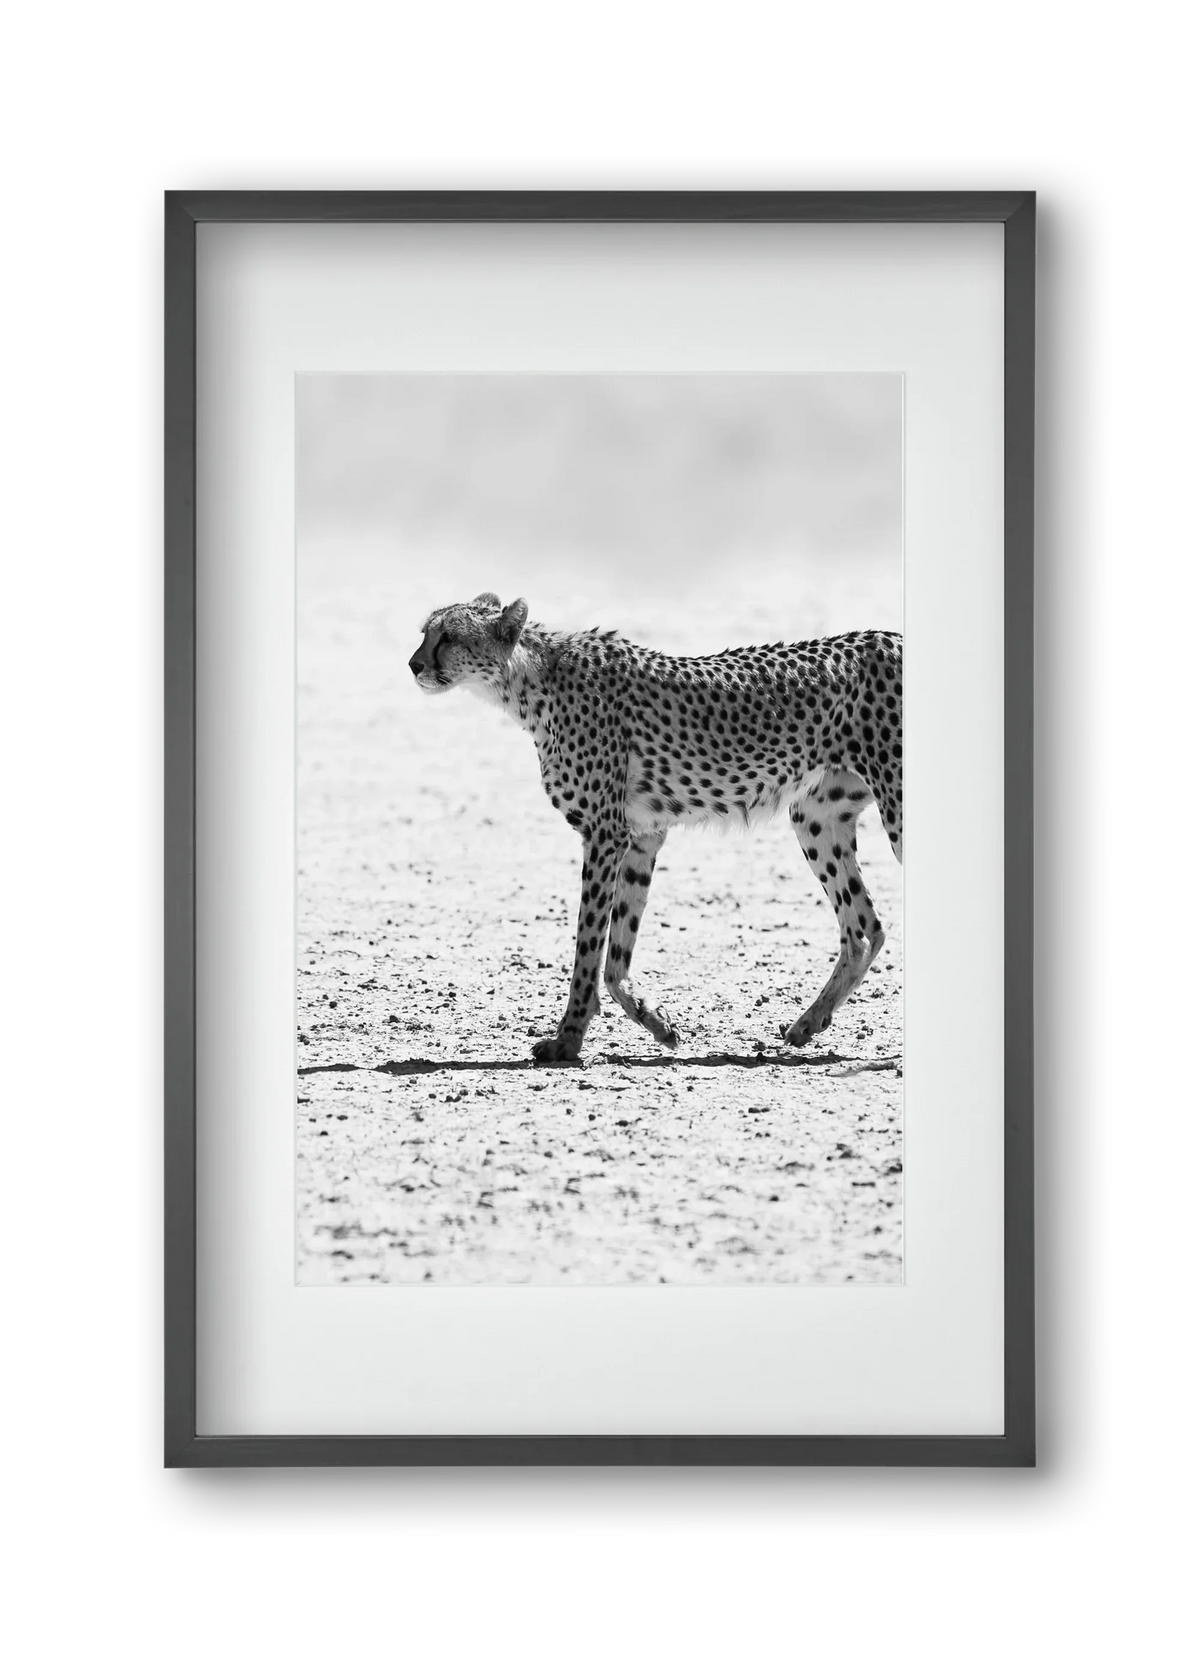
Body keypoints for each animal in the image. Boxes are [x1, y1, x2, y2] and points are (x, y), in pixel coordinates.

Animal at [409, 593, 902, 1064]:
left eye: (448, 637)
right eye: (425, 632)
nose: (414, 664)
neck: (528, 681)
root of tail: (890, 635)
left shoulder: (605, 834)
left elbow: (588, 946)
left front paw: (567, 1039)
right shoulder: (641, 836)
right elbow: (616, 954)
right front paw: (657, 1022)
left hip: (894, 807)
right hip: (816, 817)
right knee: (864, 928)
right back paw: (808, 1023)